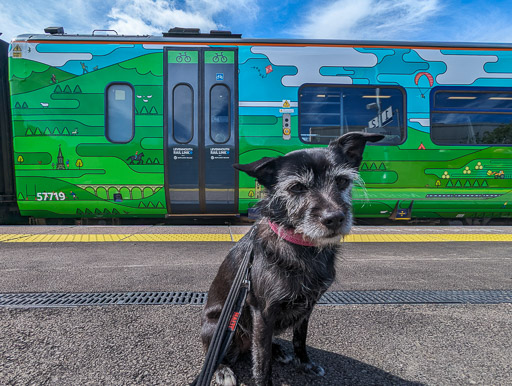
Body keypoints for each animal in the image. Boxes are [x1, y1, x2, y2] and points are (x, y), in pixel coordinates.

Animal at [200, 132, 384, 382]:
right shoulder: (263, 313)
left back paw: (278, 350)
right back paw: (222, 369)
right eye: (297, 187)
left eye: (342, 181)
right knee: (218, 353)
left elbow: (300, 339)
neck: (301, 245)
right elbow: (262, 362)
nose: (334, 218)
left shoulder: (307, 307)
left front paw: (305, 363)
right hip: (220, 325)